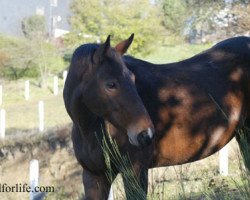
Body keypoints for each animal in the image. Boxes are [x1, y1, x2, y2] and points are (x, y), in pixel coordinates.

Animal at [64, 35, 250, 199]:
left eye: (133, 78)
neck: (91, 129)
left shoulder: (135, 172)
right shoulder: (95, 177)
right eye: (111, 84)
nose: (145, 134)